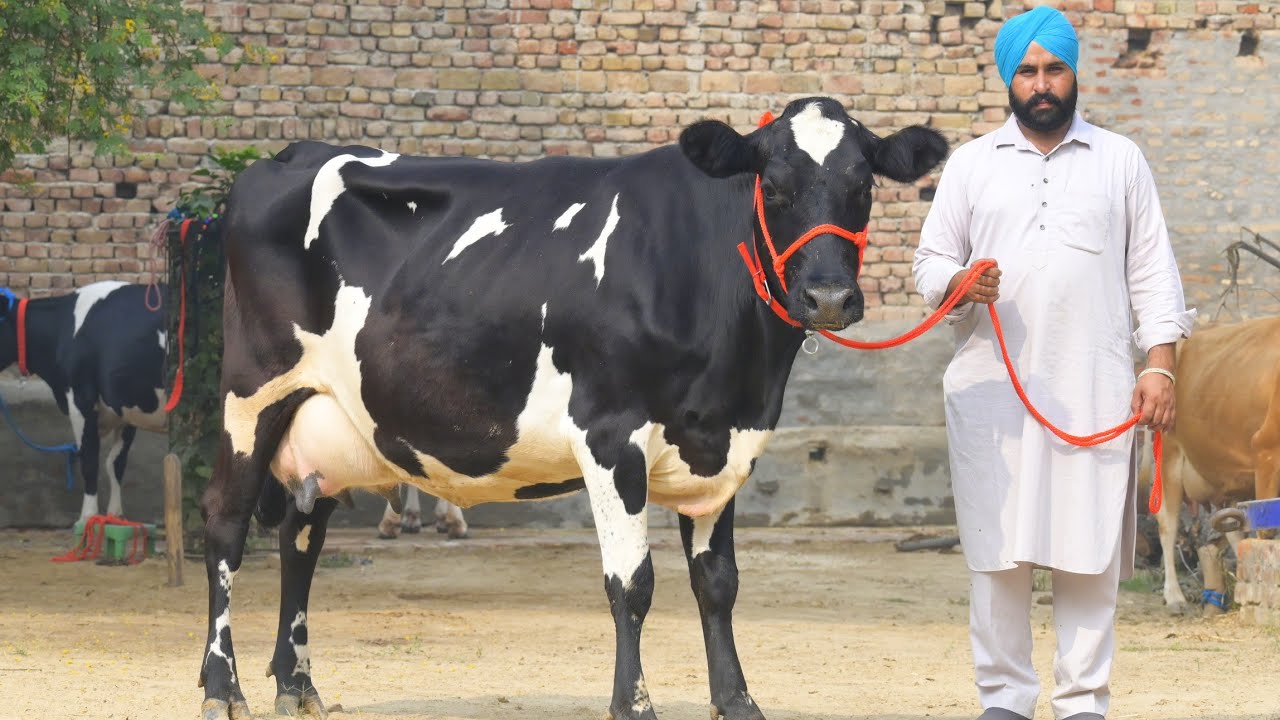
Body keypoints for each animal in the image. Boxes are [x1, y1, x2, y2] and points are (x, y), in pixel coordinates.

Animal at [0, 282, 169, 523]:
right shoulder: (125, 408)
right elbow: (116, 463)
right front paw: (115, 515)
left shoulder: (80, 397)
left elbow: (89, 459)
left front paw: (87, 517)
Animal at [197, 96, 947, 720]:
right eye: (774, 183)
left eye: (863, 185)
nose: (828, 297)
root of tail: (289, 155)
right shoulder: (612, 435)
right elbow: (632, 582)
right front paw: (633, 705)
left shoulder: (723, 444)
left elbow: (718, 582)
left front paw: (737, 702)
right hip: (251, 396)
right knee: (227, 526)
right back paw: (221, 689)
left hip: (324, 419)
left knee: (301, 537)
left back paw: (297, 686)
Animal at [1151, 316, 1280, 611]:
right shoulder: (1267, 451)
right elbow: (1267, 530)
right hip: (1170, 456)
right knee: (1167, 524)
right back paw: (1174, 596)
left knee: (1233, 526)